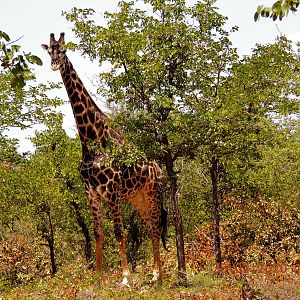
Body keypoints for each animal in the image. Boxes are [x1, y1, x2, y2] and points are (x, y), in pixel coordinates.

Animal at [42, 33, 168, 286]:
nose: (54, 65)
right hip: (137, 199)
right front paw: (98, 277)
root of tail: (159, 170)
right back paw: (154, 273)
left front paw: (126, 278)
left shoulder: (112, 191)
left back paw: (157, 275)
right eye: (49, 51)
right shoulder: (91, 191)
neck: (91, 138)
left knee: (157, 227)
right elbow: (98, 232)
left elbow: (119, 232)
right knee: (150, 227)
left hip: (153, 194)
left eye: (63, 51)